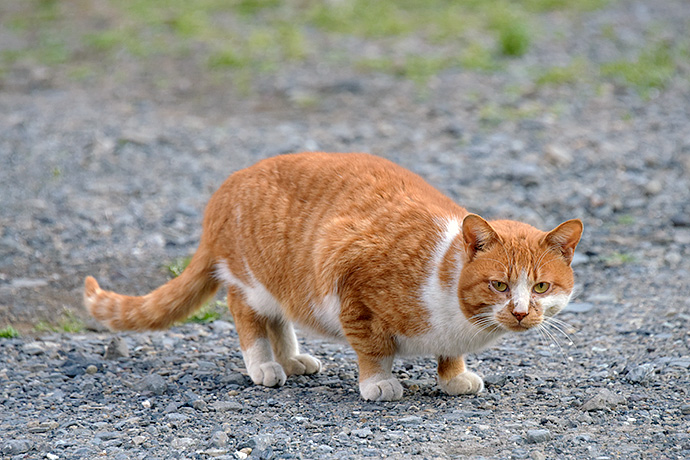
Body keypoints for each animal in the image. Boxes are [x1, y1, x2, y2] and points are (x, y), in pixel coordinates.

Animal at [84, 153, 580, 400]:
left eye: (540, 287)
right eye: (499, 285)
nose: (521, 313)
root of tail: (228, 184)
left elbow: (448, 355)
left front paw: (453, 377)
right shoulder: (350, 278)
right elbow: (373, 347)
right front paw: (378, 383)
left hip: (285, 284)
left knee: (280, 316)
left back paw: (291, 359)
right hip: (255, 278)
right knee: (247, 313)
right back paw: (265, 365)